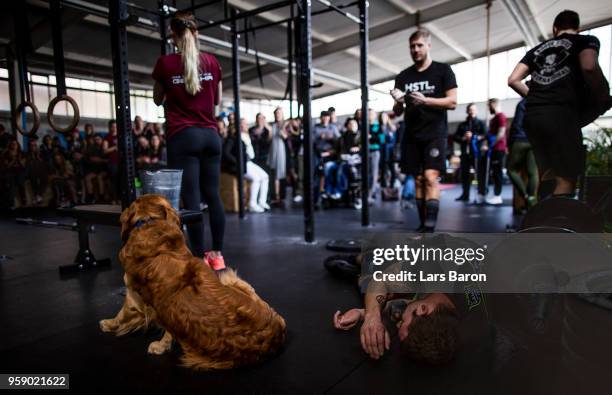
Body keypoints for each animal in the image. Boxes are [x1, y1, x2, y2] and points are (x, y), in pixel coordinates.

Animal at [99, 195, 286, 372]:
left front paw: (109, 324)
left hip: (228, 278)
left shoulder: (133, 294)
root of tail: (277, 332)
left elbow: (123, 313)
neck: (151, 222)